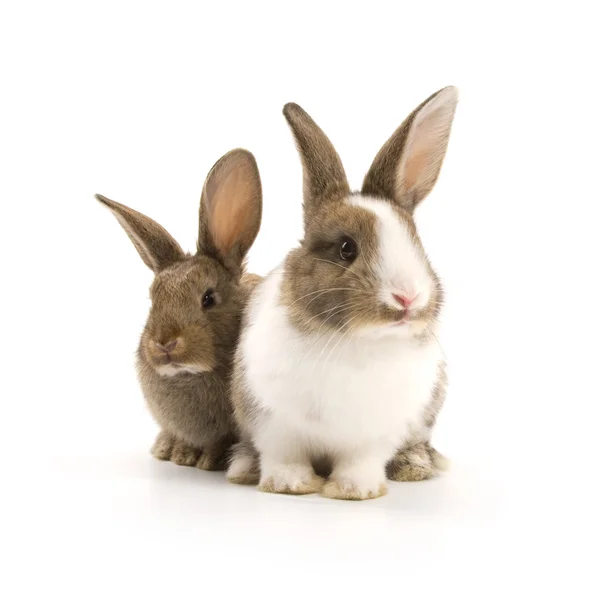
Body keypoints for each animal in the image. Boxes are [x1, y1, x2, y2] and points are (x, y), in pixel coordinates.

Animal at [227, 88, 458, 496]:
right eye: (346, 248)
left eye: (417, 244)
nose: (408, 298)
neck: (357, 341)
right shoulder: (273, 423)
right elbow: (284, 457)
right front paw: (289, 484)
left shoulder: (375, 434)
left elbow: (360, 462)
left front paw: (356, 490)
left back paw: (413, 466)